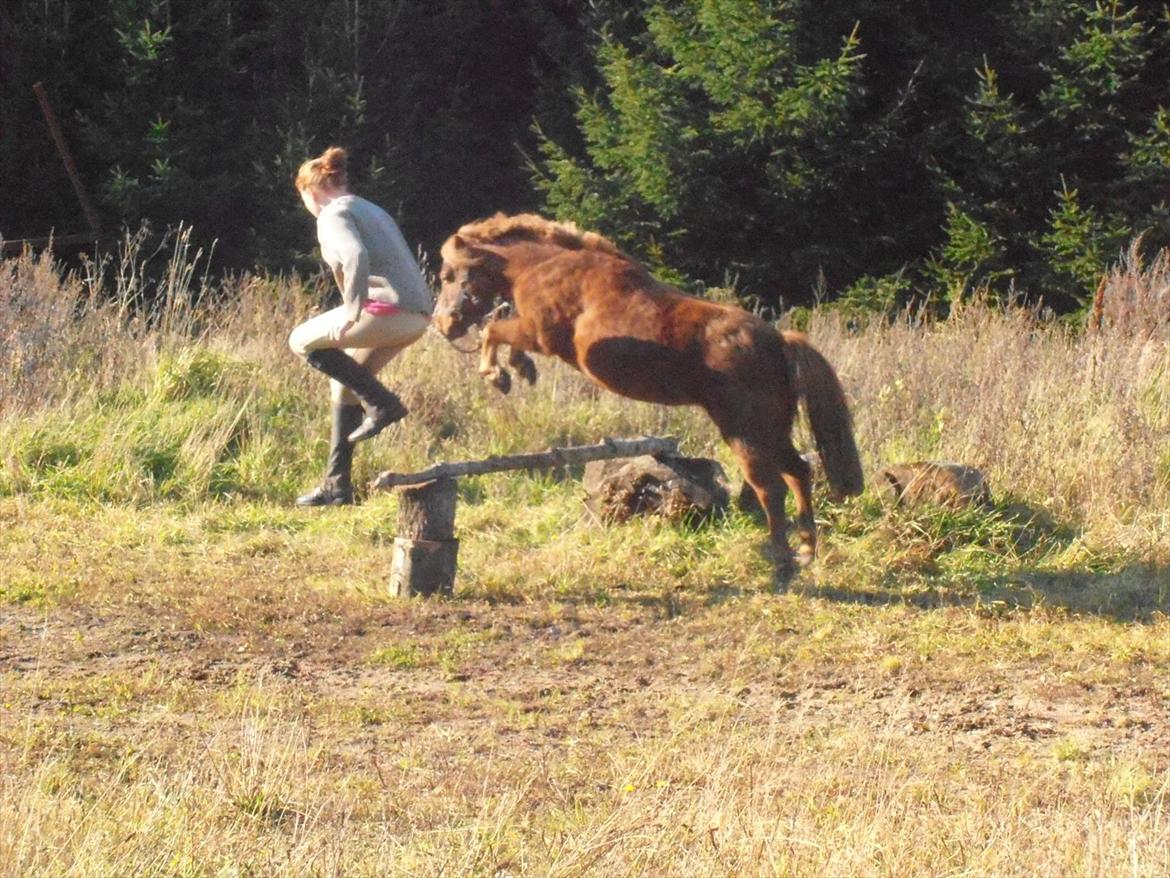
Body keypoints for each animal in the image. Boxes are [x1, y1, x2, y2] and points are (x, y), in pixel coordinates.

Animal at [435, 216, 865, 566]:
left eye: (448, 275)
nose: (444, 324)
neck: (544, 267)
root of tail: (779, 341)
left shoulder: (538, 332)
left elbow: (494, 330)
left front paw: (496, 374)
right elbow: (503, 334)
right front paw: (518, 369)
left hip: (746, 434)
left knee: (771, 488)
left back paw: (779, 555)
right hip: (773, 431)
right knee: (799, 472)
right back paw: (806, 549)